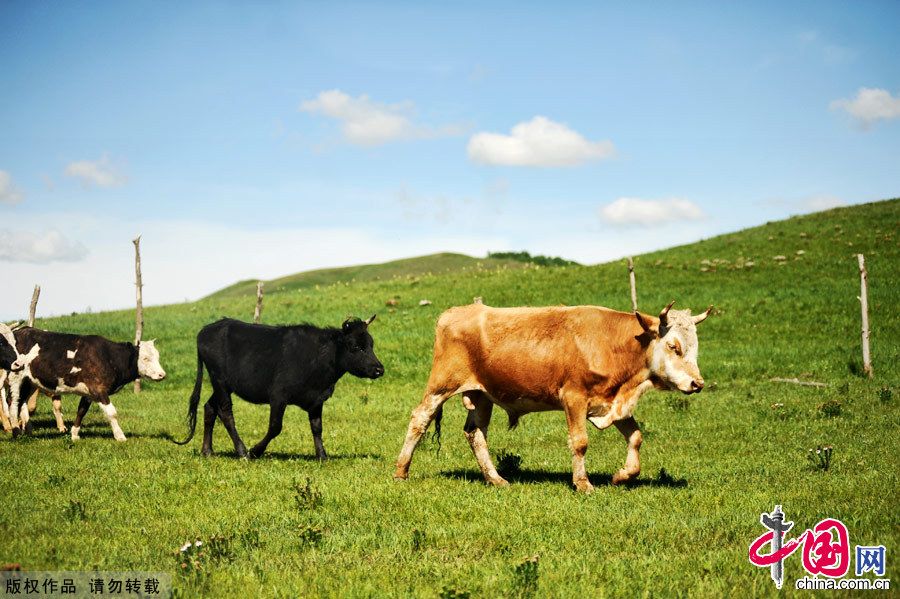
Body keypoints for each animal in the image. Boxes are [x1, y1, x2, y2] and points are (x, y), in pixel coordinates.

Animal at [175, 314, 384, 460]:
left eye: (371, 344)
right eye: (355, 347)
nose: (379, 369)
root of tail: (206, 330)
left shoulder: (317, 399)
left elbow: (317, 428)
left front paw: (322, 455)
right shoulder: (278, 396)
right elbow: (275, 427)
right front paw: (255, 451)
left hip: (224, 384)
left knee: (210, 408)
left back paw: (207, 451)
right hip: (219, 380)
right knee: (226, 413)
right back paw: (242, 451)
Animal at [392, 300, 712, 492]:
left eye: (695, 346)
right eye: (674, 346)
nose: (697, 383)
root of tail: (455, 311)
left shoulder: (611, 402)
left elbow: (635, 437)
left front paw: (622, 475)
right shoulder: (573, 397)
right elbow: (580, 443)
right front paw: (583, 484)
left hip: (481, 395)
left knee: (476, 433)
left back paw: (495, 478)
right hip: (442, 384)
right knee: (420, 419)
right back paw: (401, 471)